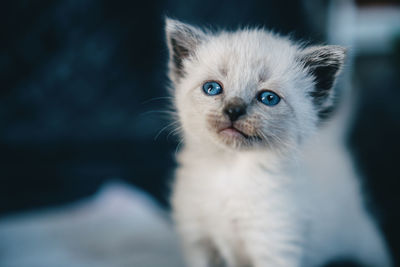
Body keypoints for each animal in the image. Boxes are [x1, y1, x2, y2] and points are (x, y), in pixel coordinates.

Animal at [164, 17, 392, 266]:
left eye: (268, 98)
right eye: (212, 88)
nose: (234, 110)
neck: (230, 168)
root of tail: (330, 139)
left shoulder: (275, 246)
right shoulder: (199, 241)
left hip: (362, 240)